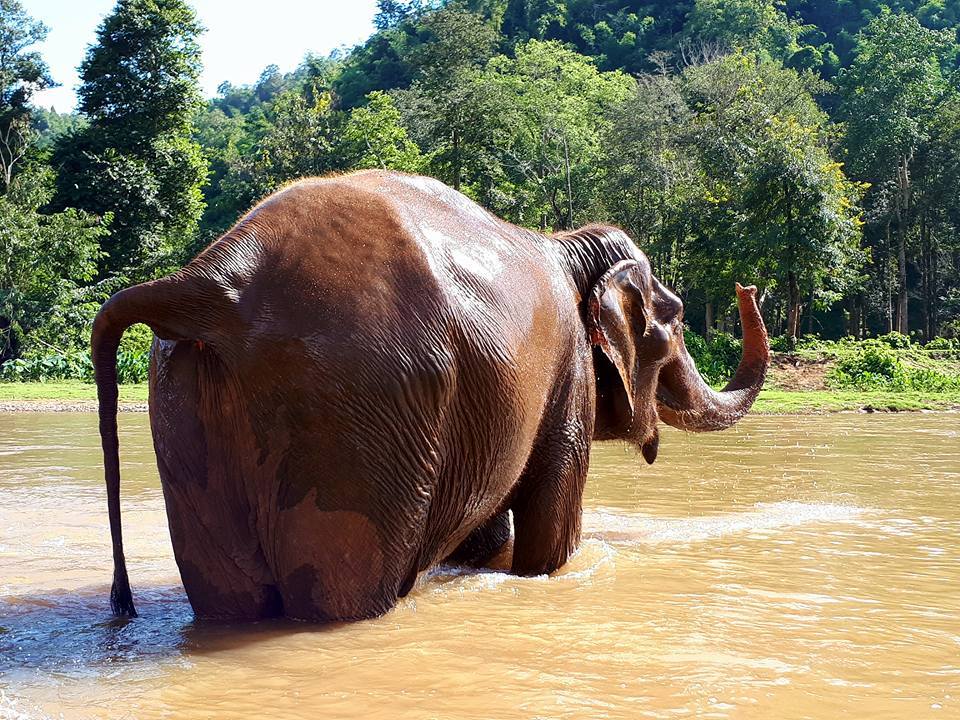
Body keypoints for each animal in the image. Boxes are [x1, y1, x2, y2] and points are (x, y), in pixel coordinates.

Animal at [90, 172, 768, 620]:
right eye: (676, 321)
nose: (747, 285)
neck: (569, 244)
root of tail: (216, 280)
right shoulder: (566, 377)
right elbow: (550, 534)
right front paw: (544, 572)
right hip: (355, 424)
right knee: (342, 594)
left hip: (182, 405)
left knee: (228, 598)